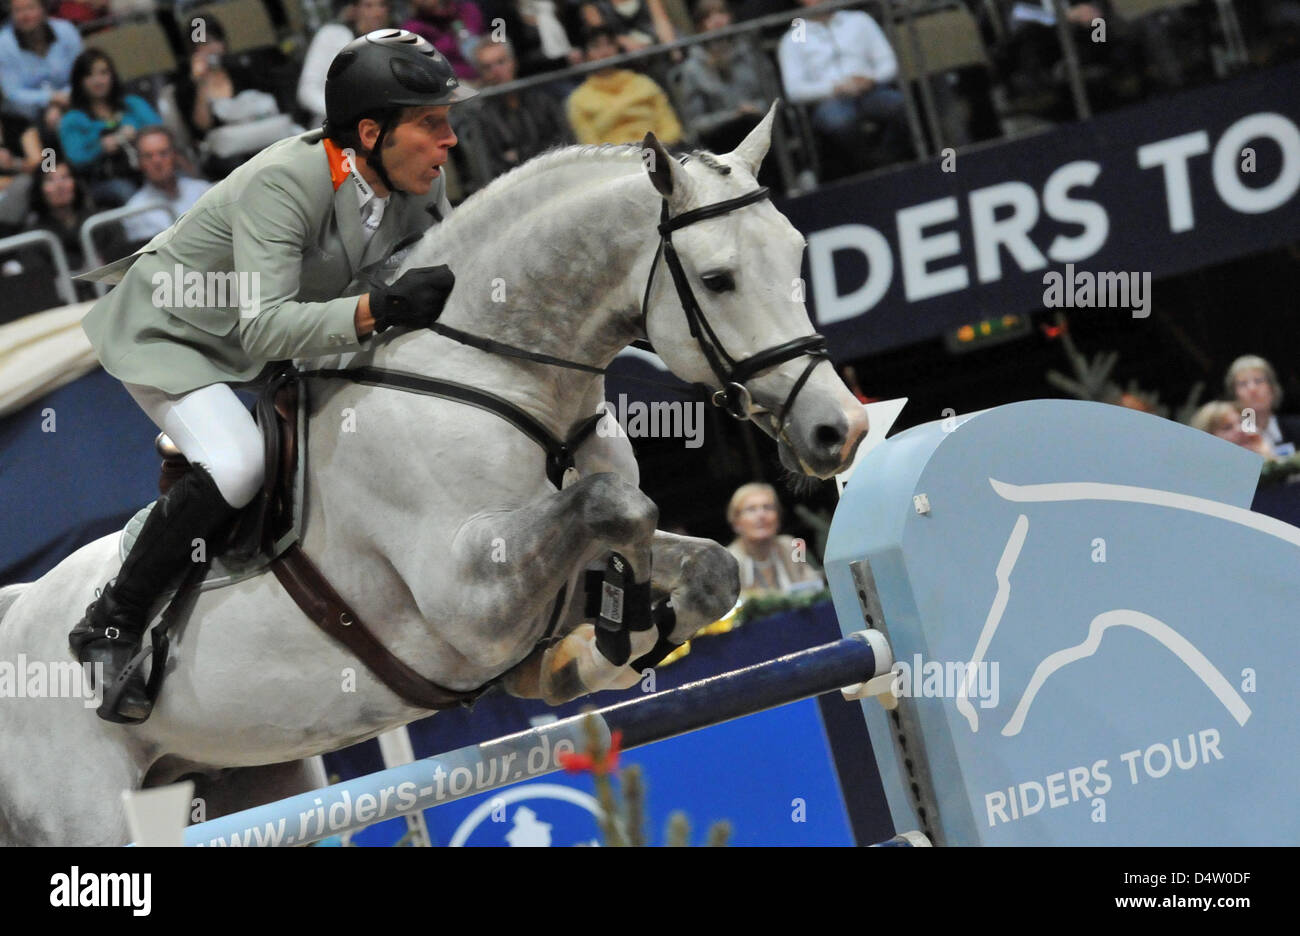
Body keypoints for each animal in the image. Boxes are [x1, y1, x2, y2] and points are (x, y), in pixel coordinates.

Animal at [2, 105, 873, 842]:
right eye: (720, 279)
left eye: (798, 256)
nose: (842, 428)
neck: (498, 374)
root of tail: (17, 606)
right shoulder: (467, 596)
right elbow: (613, 503)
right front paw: (598, 645)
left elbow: (711, 567)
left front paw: (593, 647)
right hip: (92, 812)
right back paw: (110, 648)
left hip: (249, 780)